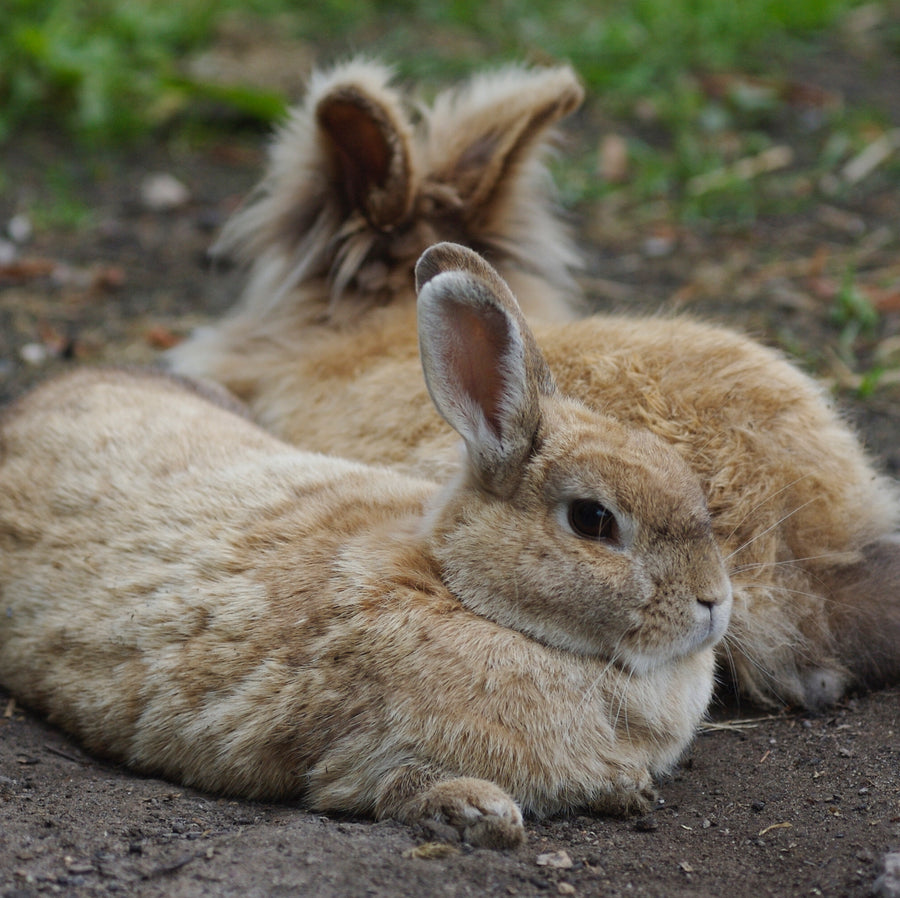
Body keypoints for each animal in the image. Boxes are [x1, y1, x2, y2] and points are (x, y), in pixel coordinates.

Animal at [0, 243, 732, 848]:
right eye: (592, 520)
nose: (715, 602)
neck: (463, 592)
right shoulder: (367, 756)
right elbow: (400, 786)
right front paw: (484, 814)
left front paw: (628, 788)